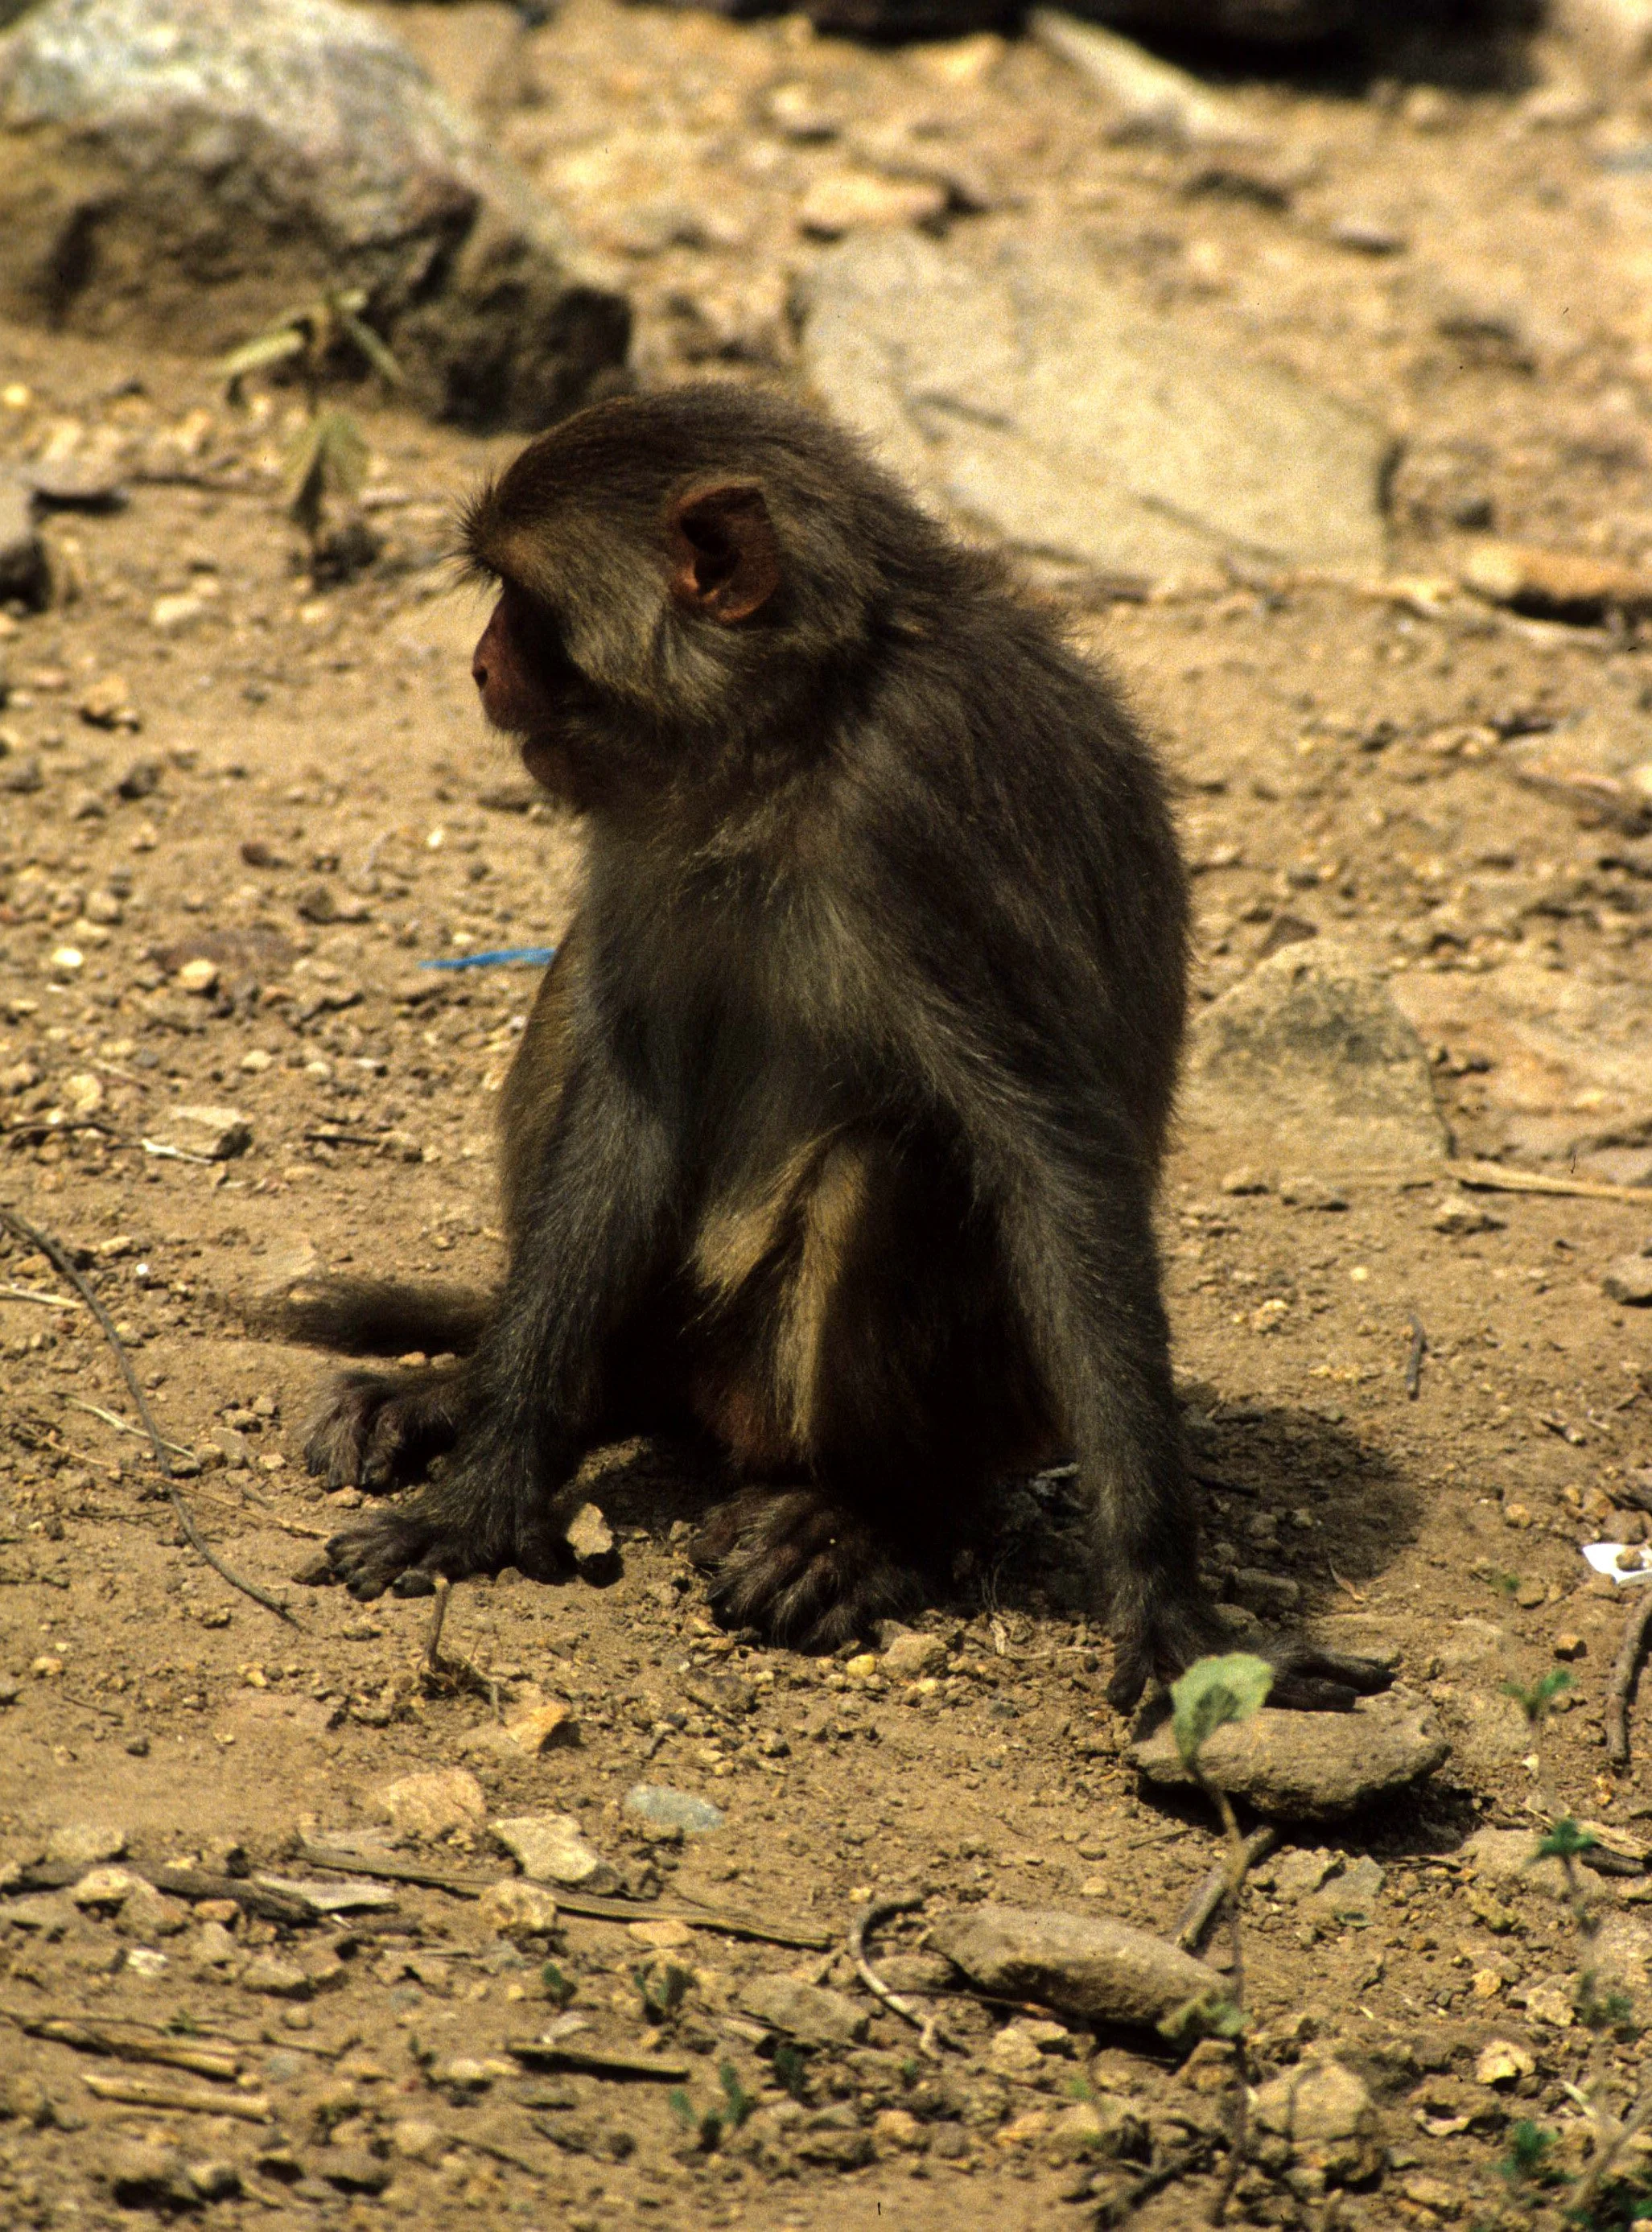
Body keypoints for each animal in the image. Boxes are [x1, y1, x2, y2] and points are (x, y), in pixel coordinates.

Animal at [277, 382, 1388, 1715]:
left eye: (524, 605)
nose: (482, 662)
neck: (795, 741)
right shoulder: (647, 820)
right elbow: (629, 1100)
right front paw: (492, 1476)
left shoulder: (918, 815)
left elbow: (1054, 1156)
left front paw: (1168, 1601)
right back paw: (531, 1394)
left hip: (935, 1404)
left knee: (889, 1171)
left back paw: (870, 1523)